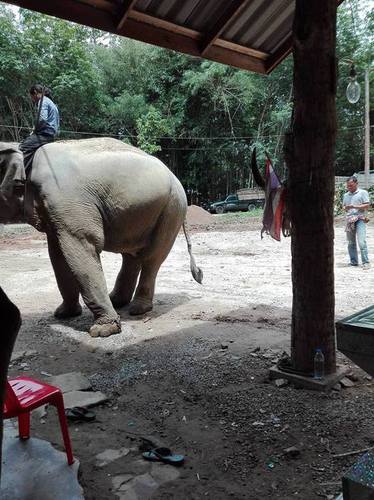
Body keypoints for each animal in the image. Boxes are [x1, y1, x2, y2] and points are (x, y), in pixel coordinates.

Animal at [0, 139, 202, 338]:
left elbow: (82, 246)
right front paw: (64, 314)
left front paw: (103, 331)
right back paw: (117, 301)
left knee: (152, 258)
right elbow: (57, 254)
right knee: (132, 256)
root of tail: (175, 178)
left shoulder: (67, 203)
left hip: (171, 209)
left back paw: (137, 309)